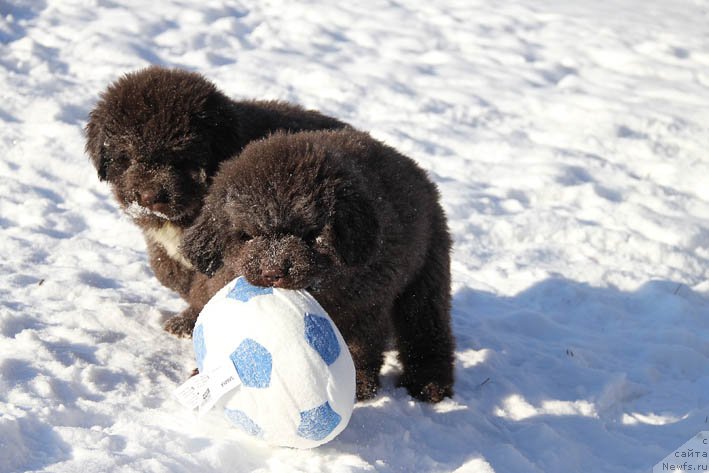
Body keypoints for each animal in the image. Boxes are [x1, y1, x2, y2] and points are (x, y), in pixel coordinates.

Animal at [183, 129, 456, 402]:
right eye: (247, 235)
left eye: (310, 235)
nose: (272, 272)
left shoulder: (365, 305)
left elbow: (360, 346)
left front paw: (357, 385)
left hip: (426, 274)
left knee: (426, 328)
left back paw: (429, 383)